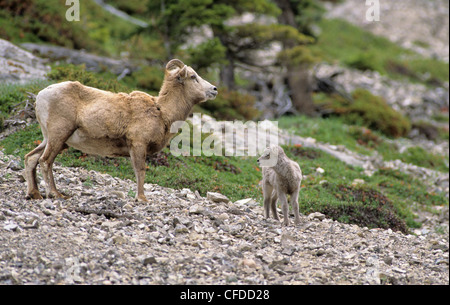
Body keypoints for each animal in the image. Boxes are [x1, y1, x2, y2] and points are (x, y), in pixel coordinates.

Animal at [24, 59, 218, 202]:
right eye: (193, 76)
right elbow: (140, 170)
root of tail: (41, 95)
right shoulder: (138, 145)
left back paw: (35, 194)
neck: (162, 112)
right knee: (45, 161)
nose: (214, 89)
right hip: (58, 135)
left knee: (31, 158)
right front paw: (141, 198)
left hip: (51, 139)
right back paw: (55, 194)